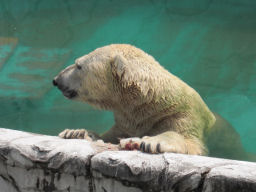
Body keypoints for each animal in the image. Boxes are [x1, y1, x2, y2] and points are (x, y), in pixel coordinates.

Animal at [52, 44, 248, 158]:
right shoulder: (127, 121)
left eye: (78, 65)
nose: (56, 80)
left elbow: (191, 142)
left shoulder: (183, 116)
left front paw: (150, 142)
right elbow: (107, 136)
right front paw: (75, 132)